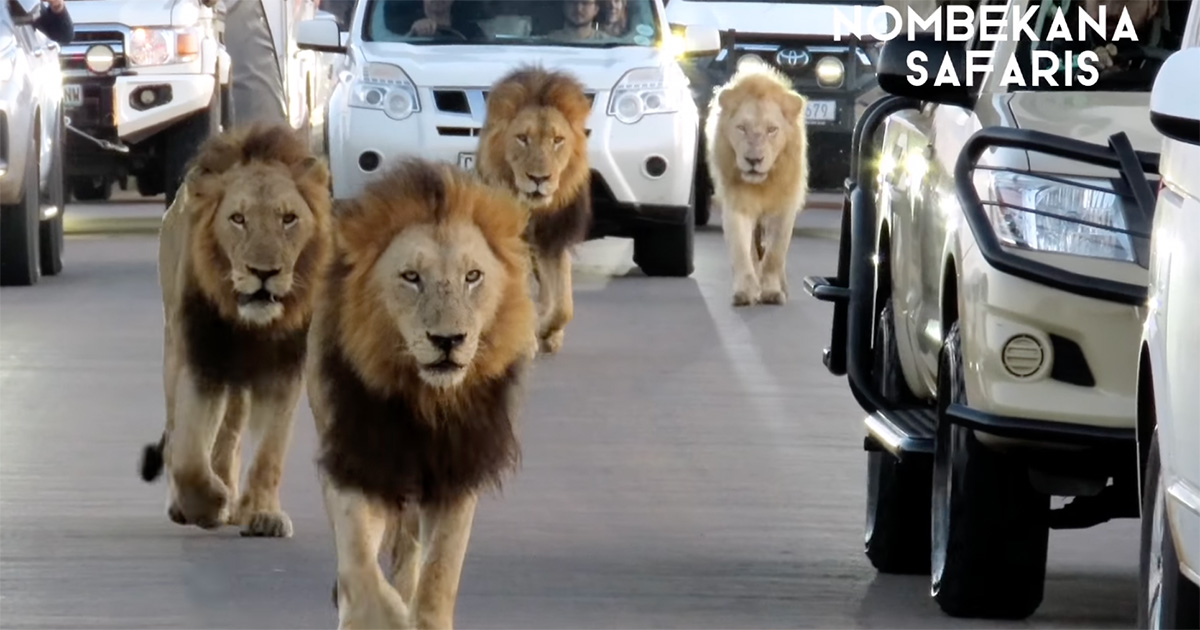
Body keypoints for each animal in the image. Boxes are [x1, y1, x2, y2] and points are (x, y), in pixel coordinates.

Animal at [137, 122, 333, 537]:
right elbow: (188, 450)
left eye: (289, 219)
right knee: (182, 429)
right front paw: (206, 504)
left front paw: (261, 514)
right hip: (176, 349)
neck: (250, 327)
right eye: (238, 219)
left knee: (231, 434)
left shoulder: (285, 368)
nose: (264, 272)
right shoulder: (203, 358)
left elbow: (270, 450)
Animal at [307, 158, 536, 629]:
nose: (448, 340)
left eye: (472, 277)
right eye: (411, 278)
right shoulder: (359, 462)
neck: (426, 401)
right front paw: (377, 614)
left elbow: (439, 576)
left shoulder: (456, 474)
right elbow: (358, 564)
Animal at [476, 64, 592, 355]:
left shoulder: (553, 239)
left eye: (558, 140)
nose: (539, 178)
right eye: (522, 138)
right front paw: (529, 337)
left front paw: (547, 329)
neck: (534, 211)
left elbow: (564, 306)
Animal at [705, 57, 809, 306]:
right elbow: (741, 252)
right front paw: (745, 292)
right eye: (741, 128)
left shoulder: (783, 208)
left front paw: (771, 292)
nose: (753, 160)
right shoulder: (737, 205)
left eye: (772, 130)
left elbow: (774, 255)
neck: (764, 184)